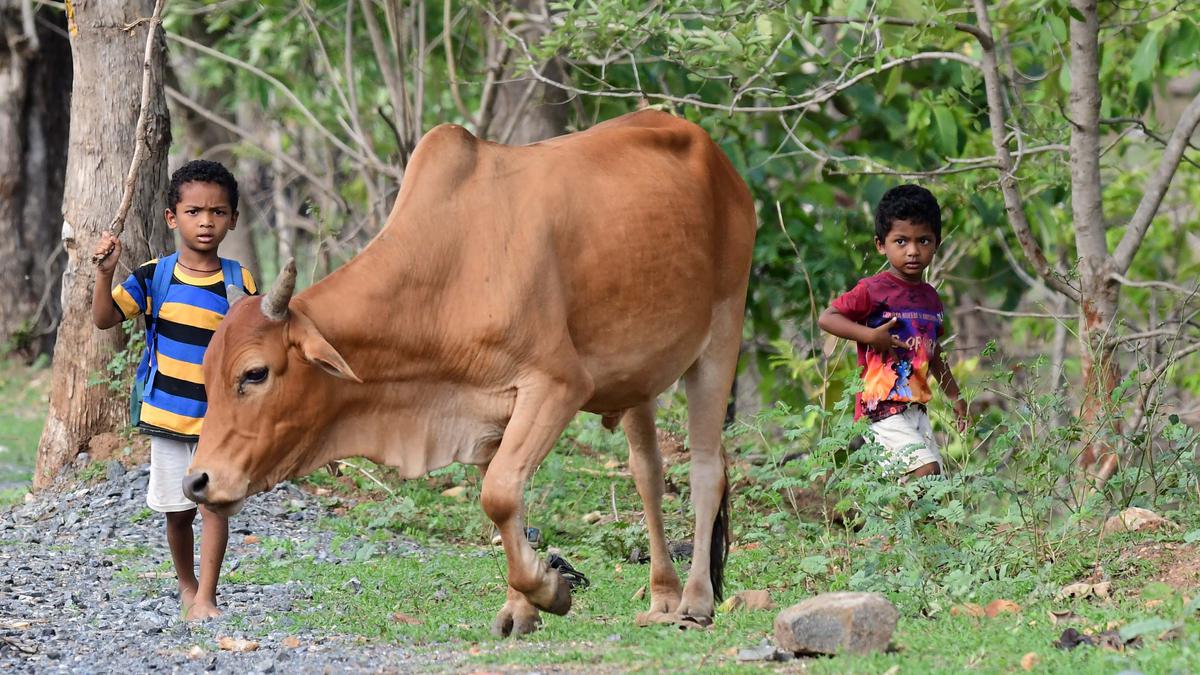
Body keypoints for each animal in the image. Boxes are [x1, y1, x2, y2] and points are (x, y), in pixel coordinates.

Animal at [183, 109, 753, 629]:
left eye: (255, 374)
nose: (197, 482)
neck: (448, 268)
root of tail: (719, 159)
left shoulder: (558, 385)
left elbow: (499, 495)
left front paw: (551, 590)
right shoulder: (484, 414)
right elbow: (507, 508)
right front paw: (522, 608)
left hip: (723, 331)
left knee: (706, 468)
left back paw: (695, 602)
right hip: (638, 376)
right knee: (648, 474)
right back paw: (662, 596)